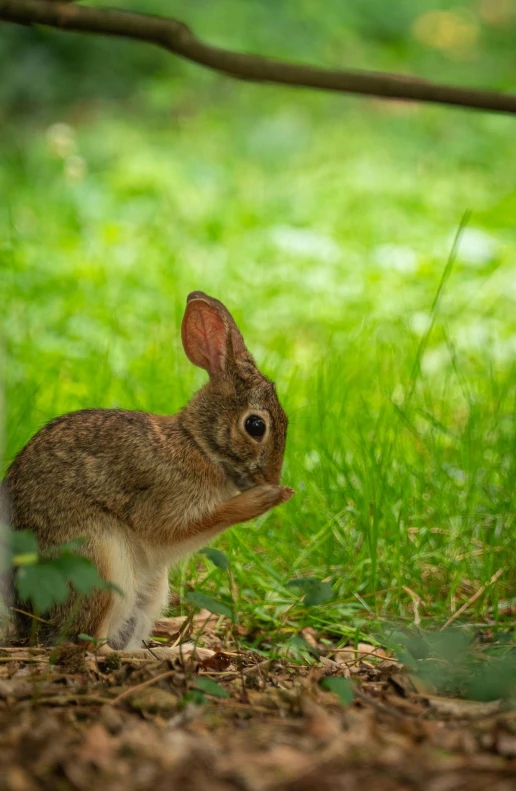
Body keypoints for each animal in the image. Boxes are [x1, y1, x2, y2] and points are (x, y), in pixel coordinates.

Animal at [2, 292, 294, 664]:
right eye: (255, 426)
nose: (272, 476)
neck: (198, 444)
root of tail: (29, 623)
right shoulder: (162, 502)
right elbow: (186, 526)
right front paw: (268, 497)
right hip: (100, 562)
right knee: (92, 648)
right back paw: (180, 653)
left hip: (149, 591)